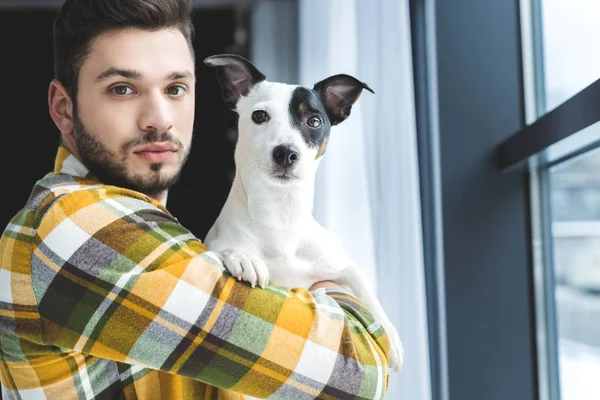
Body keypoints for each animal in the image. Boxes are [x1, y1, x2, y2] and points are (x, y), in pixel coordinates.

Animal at [202, 54, 404, 374]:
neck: (280, 215)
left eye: (314, 121)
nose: (286, 152)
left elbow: (366, 291)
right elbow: (225, 248)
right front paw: (243, 257)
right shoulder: (215, 242)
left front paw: (392, 339)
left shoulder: (343, 266)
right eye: (260, 116)